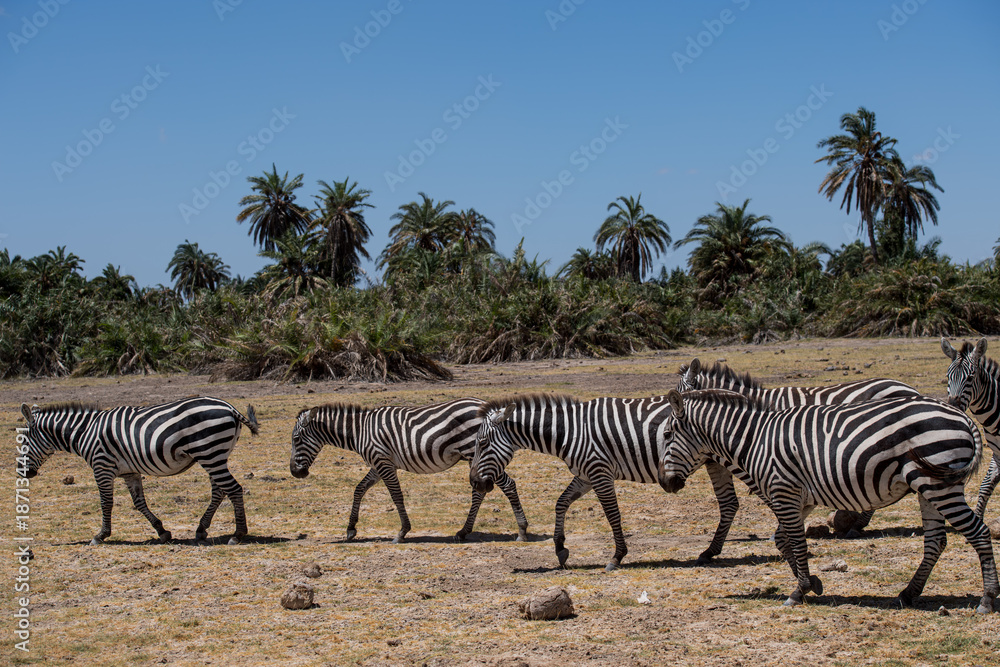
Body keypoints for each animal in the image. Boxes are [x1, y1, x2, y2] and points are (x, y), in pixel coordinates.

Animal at [18, 397, 258, 545]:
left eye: (23, 441)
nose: (22, 473)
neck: (85, 431)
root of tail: (229, 407)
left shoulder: (102, 466)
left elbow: (106, 502)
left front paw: (100, 535)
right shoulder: (129, 472)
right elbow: (139, 502)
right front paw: (162, 531)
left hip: (210, 452)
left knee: (234, 489)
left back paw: (238, 534)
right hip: (214, 455)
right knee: (219, 491)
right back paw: (201, 529)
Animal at [289, 398, 529, 543]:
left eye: (296, 439)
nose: (294, 472)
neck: (359, 430)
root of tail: (489, 409)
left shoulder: (382, 461)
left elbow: (396, 495)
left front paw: (402, 531)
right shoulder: (379, 463)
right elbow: (359, 489)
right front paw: (351, 529)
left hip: (478, 454)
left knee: (507, 485)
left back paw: (522, 529)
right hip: (478, 459)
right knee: (480, 491)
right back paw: (464, 531)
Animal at [470, 393, 685, 571]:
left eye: (482, 443)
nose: (474, 482)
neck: (571, 431)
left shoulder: (600, 472)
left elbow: (612, 515)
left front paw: (617, 556)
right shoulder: (585, 475)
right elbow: (561, 502)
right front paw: (560, 547)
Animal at [657, 389, 997, 612]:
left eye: (668, 435)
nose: (665, 483)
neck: (755, 440)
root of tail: (962, 417)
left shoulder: (784, 493)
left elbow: (796, 542)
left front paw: (799, 591)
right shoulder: (800, 499)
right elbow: (782, 540)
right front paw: (812, 582)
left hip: (940, 485)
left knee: (979, 533)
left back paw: (987, 599)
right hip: (929, 487)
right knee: (936, 541)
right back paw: (908, 593)